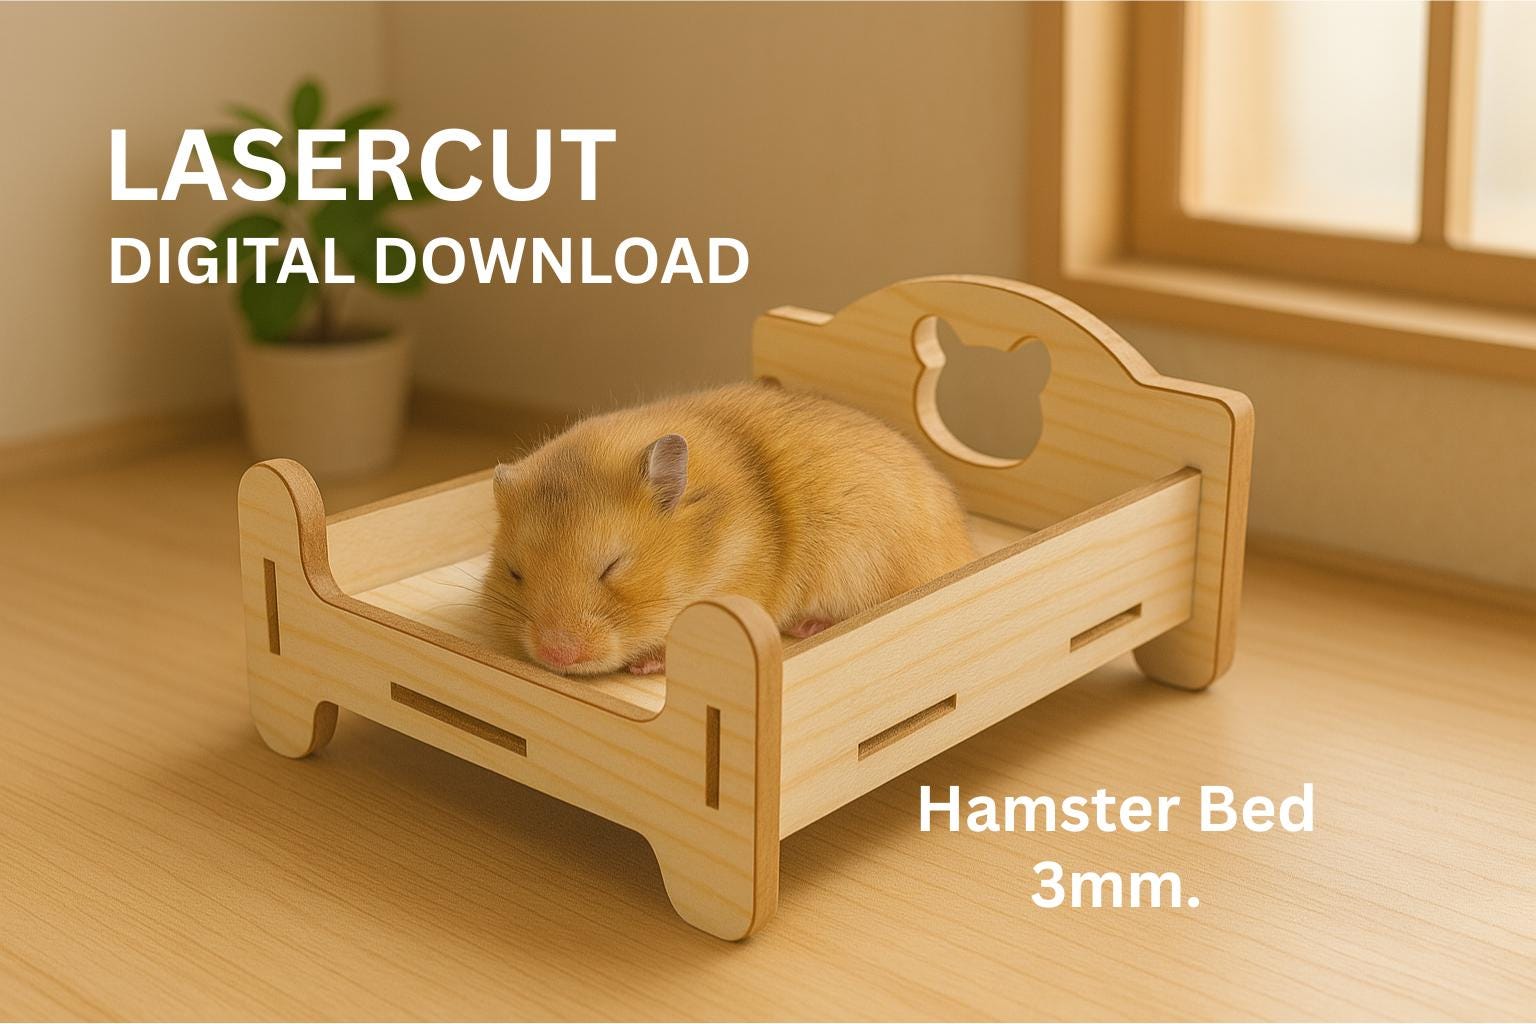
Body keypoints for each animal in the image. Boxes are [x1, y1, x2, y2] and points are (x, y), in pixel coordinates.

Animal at [482, 381, 976, 675]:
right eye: (514, 573)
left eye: (613, 566)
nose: (555, 655)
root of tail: (966, 551)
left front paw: (644, 666)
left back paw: (810, 627)